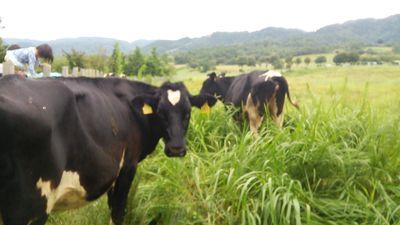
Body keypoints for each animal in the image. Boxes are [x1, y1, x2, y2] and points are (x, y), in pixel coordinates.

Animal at [0, 74, 216, 224]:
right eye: (161, 112)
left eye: (188, 113)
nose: (176, 148)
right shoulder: (127, 167)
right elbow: (118, 211)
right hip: (32, 205)